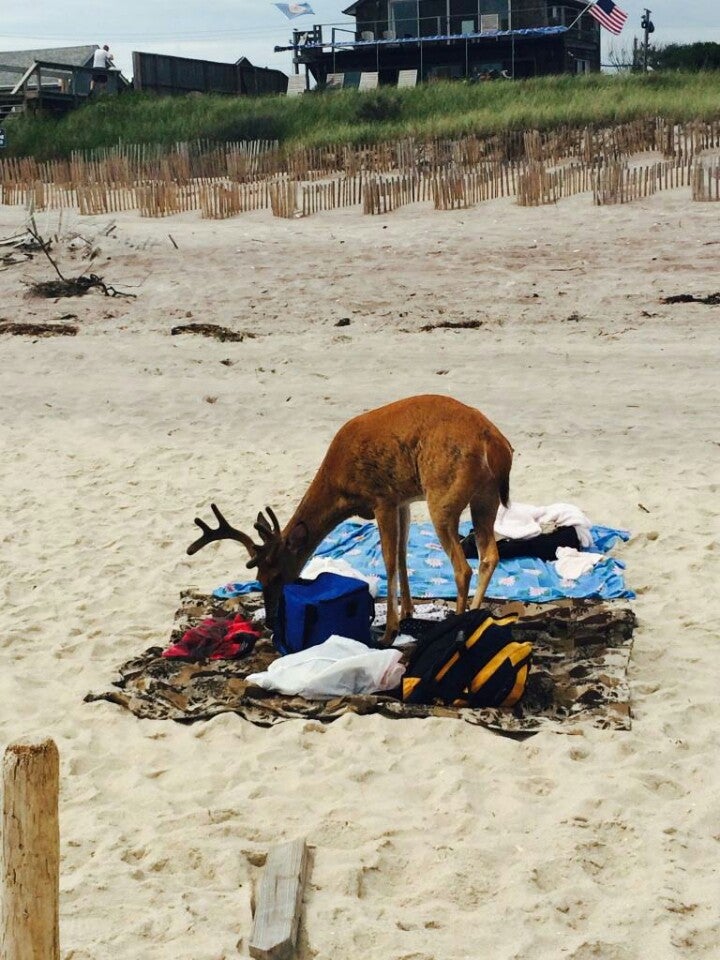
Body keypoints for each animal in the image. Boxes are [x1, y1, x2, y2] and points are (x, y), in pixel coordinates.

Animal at [186, 394, 512, 640]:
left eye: (276, 574)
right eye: (257, 577)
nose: (269, 620)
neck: (342, 487)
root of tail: (494, 442)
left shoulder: (381, 496)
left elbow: (388, 561)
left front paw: (390, 630)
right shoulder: (402, 499)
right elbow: (402, 554)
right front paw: (407, 611)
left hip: (443, 496)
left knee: (463, 567)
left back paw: (458, 624)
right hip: (485, 498)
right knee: (489, 555)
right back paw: (475, 615)